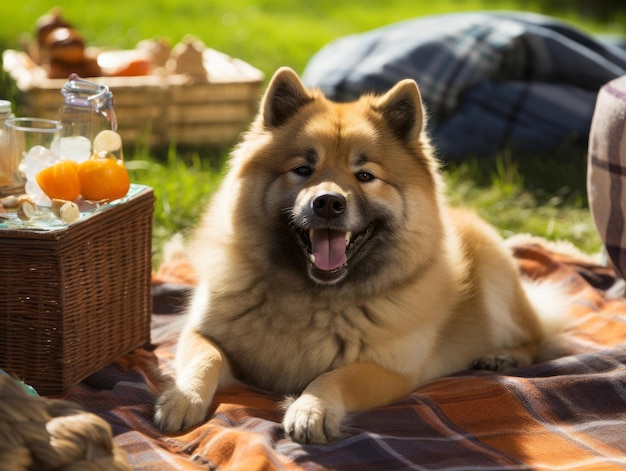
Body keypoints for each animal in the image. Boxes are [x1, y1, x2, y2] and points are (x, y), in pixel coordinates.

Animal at [155, 67, 560, 446]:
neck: (310, 298)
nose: (328, 203)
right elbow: (206, 356)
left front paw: (311, 408)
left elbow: (335, 376)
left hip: (496, 281)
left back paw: (501, 356)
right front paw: (183, 397)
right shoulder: (201, 332)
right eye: (303, 169)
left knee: (536, 338)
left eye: (364, 175)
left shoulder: (391, 370)